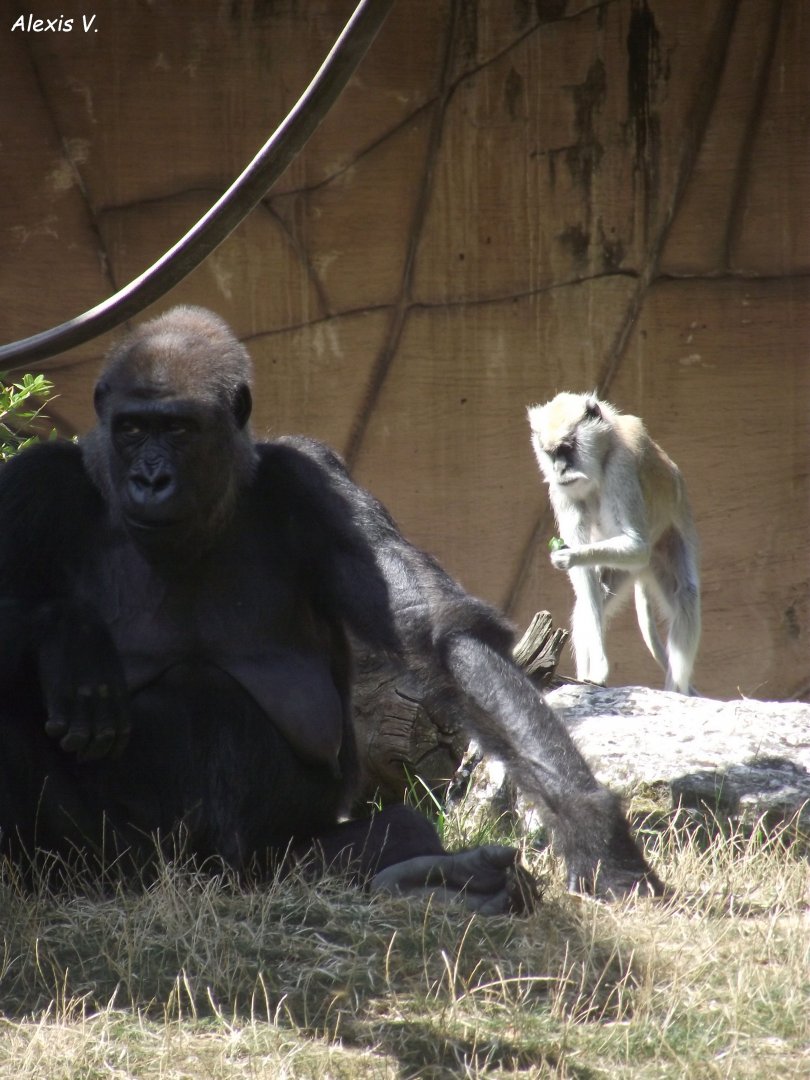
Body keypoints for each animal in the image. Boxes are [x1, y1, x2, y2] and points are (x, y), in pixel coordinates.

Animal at [527, 391, 700, 694]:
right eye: (550, 453)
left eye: (567, 448)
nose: (559, 469)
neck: (602, 451)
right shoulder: (561, 490)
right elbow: (586, 582)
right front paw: (596, 671)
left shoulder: (620, 466)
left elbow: (636, 547)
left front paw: (568, 556)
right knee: (591, 599)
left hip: (668, 539)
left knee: (685, 596)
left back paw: (674, 690)